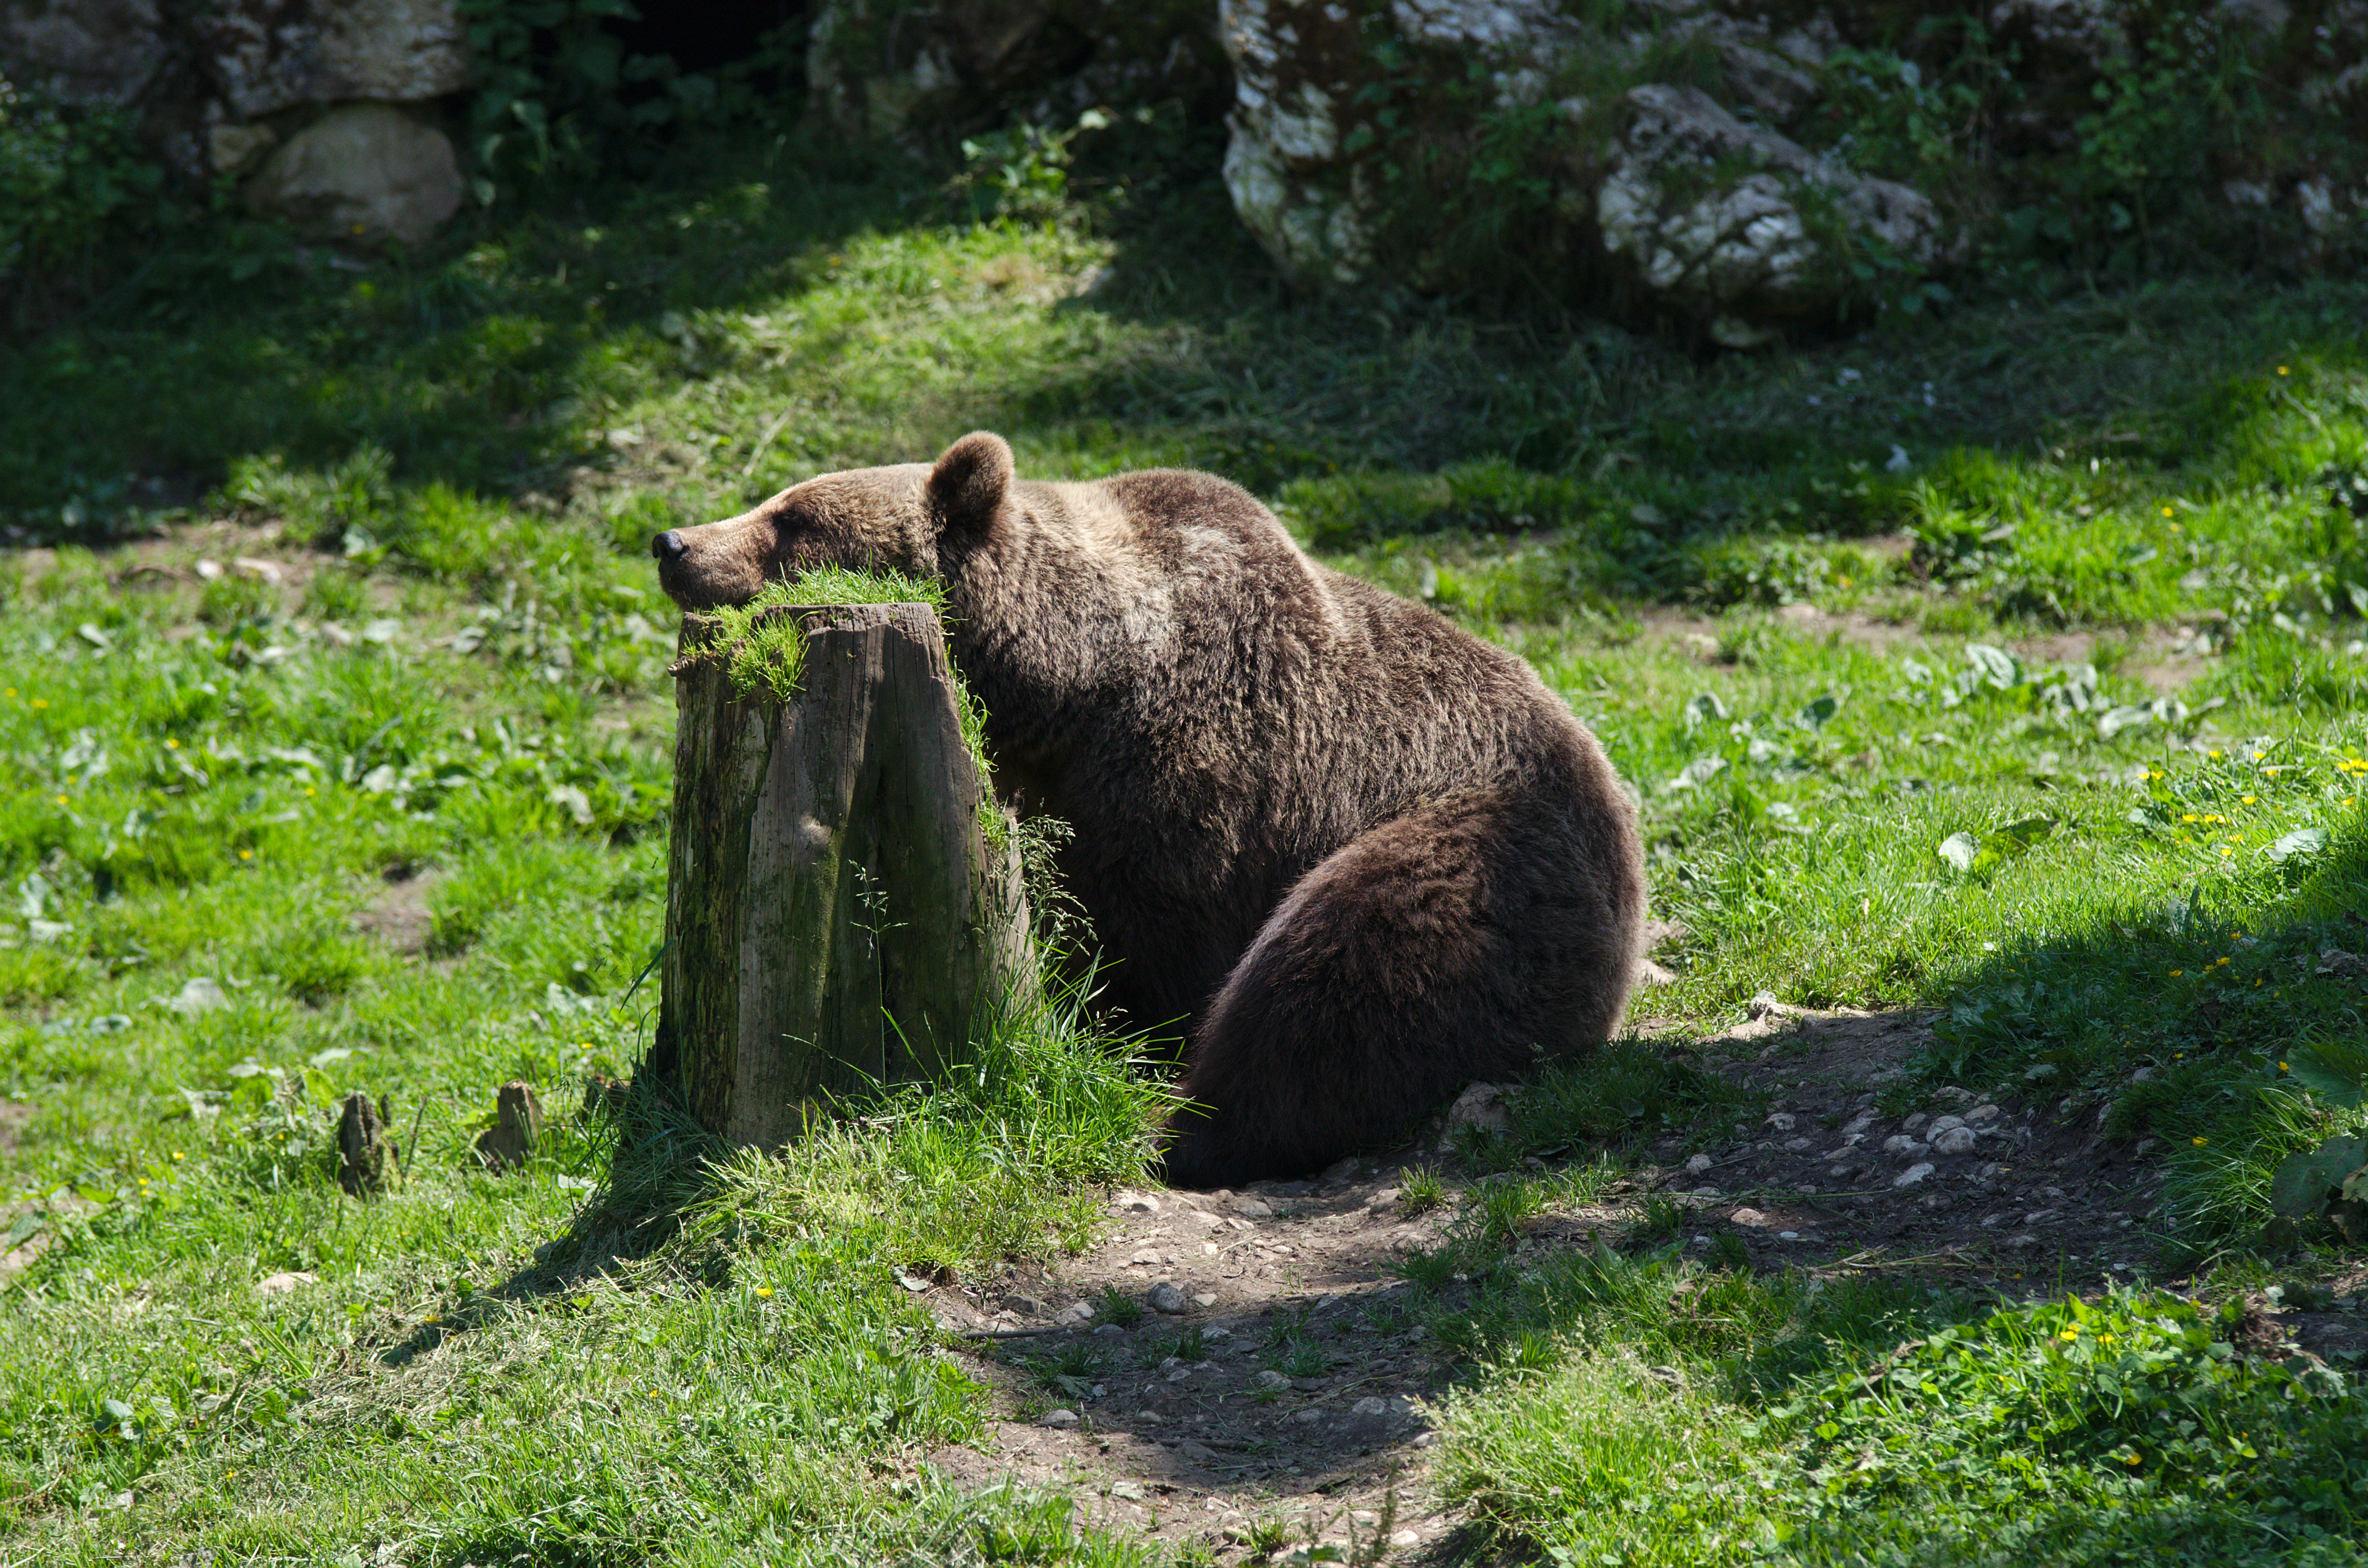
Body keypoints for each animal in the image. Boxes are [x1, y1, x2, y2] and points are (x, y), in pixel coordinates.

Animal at [653, 431, 1647, 1187]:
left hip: (1482, 854)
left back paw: (1196, 1129)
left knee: (1338, 970)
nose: (673, 542)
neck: (1069, 685)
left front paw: (1127, 1044)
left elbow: (1158, 940)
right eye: (775, 499)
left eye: (794, 519)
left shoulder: (1195, 778)